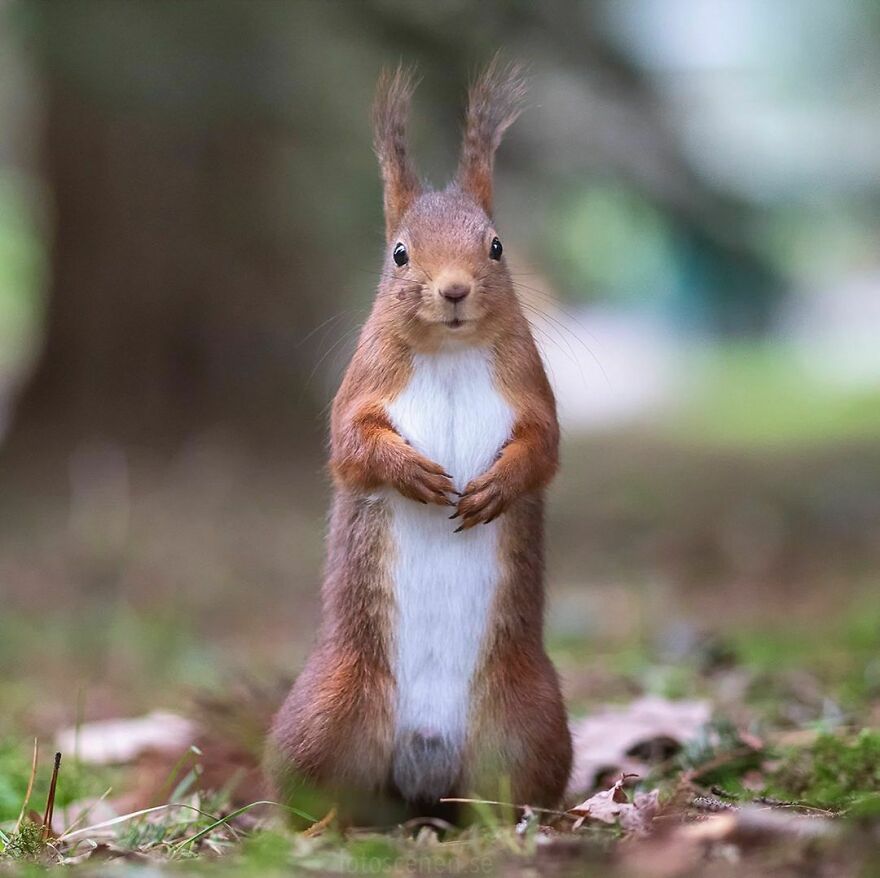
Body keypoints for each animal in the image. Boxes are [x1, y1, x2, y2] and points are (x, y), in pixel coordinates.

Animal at [266, 58, 572, 822]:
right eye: (399, 254)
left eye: (496, 244)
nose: (454, 290)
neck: (450, 353)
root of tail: (423, 764)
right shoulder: (358, 391)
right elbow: (350, 449)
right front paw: (413, 476)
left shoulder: (533, 394)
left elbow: (544, 450)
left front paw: (494, 488)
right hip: (326, 711)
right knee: (312, 794)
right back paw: (322, 829)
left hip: (529, 721)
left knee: (508, 791)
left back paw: (502, 825)